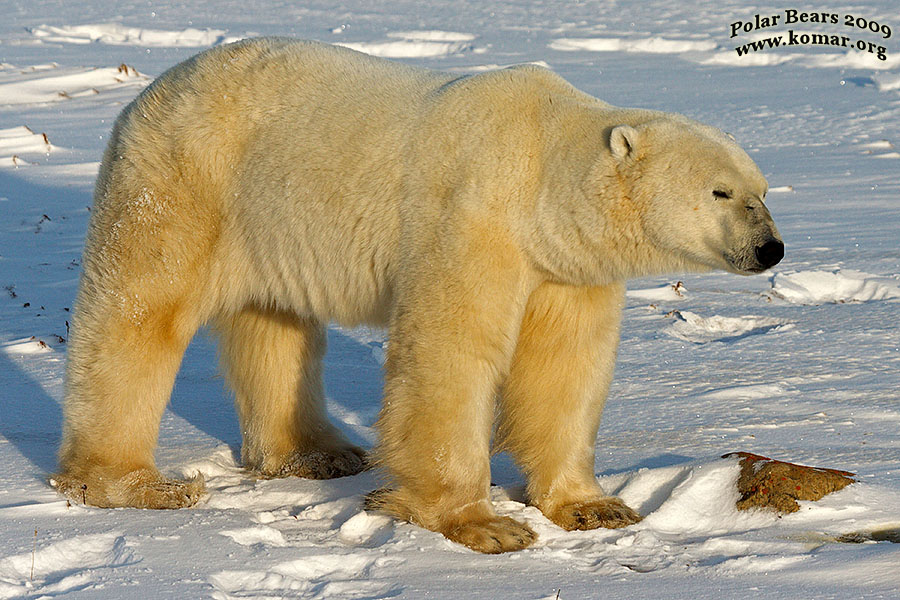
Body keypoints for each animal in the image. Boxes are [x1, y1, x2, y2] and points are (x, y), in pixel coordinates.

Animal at [52, 37, 780, 552]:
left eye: (763, 189)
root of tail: (153, 89)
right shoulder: (472, 215)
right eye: (721, 191)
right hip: (184, 183)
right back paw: (137, 484)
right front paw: (486, 525)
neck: (539, 163)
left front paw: (594, 505)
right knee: (139, 314)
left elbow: (566, 368)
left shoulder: (565, 264)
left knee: (278, 326)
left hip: (266, 217)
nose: (771, 248)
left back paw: (319, 452)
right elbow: (449, 352)